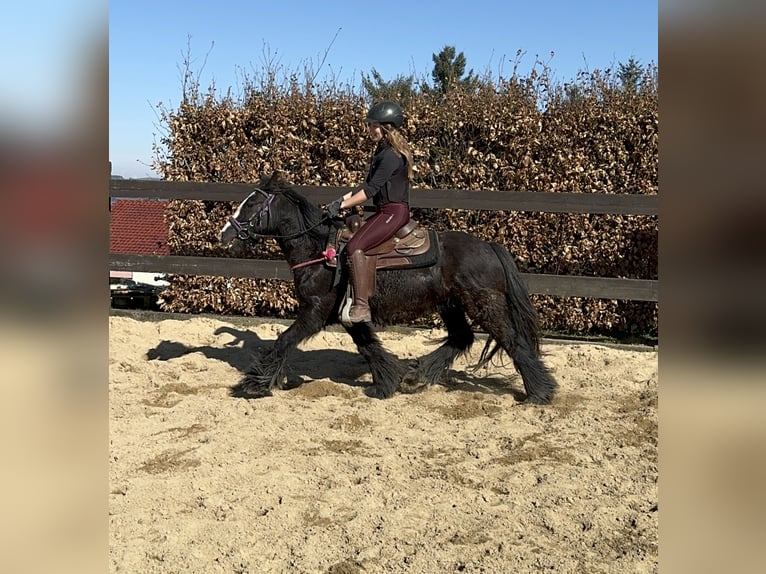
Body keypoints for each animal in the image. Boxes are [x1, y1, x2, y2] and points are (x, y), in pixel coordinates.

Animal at [219, 176, 560, 404]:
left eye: (252, 203)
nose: (224, 235)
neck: (321, 251)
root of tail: (489, 246)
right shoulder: (348, 315)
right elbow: (369, 347)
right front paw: (386, 383)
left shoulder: (314, 311)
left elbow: (284, 341)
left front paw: (255, 383)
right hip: (451, 305)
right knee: (461, 338)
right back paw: (416, 374)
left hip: (485, 306)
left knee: (513, 342)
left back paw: (539, 392)